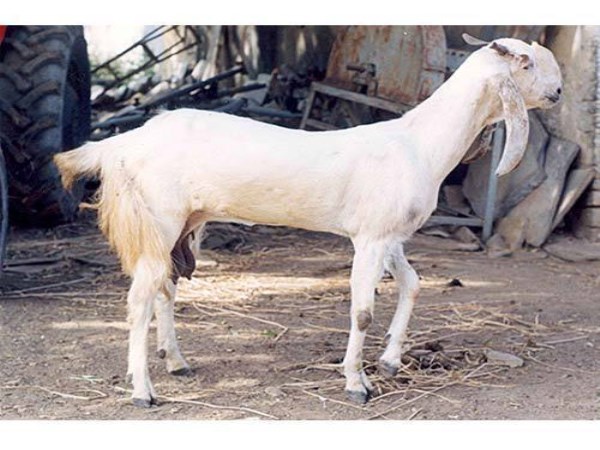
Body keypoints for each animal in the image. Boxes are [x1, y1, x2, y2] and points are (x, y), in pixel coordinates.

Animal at [55, 36, 564, 408]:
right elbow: (362, 311)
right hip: (157, 220)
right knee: (140, 300)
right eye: (526, 64)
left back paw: (176, 361)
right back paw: (144, 391)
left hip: (181, 225)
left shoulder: (390, 236)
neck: (419, 143)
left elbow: (414, 284)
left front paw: (391, 361)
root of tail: (122, 143)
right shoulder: (370, 237)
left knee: (165, 288)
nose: (559, 93)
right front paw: (357, 384)